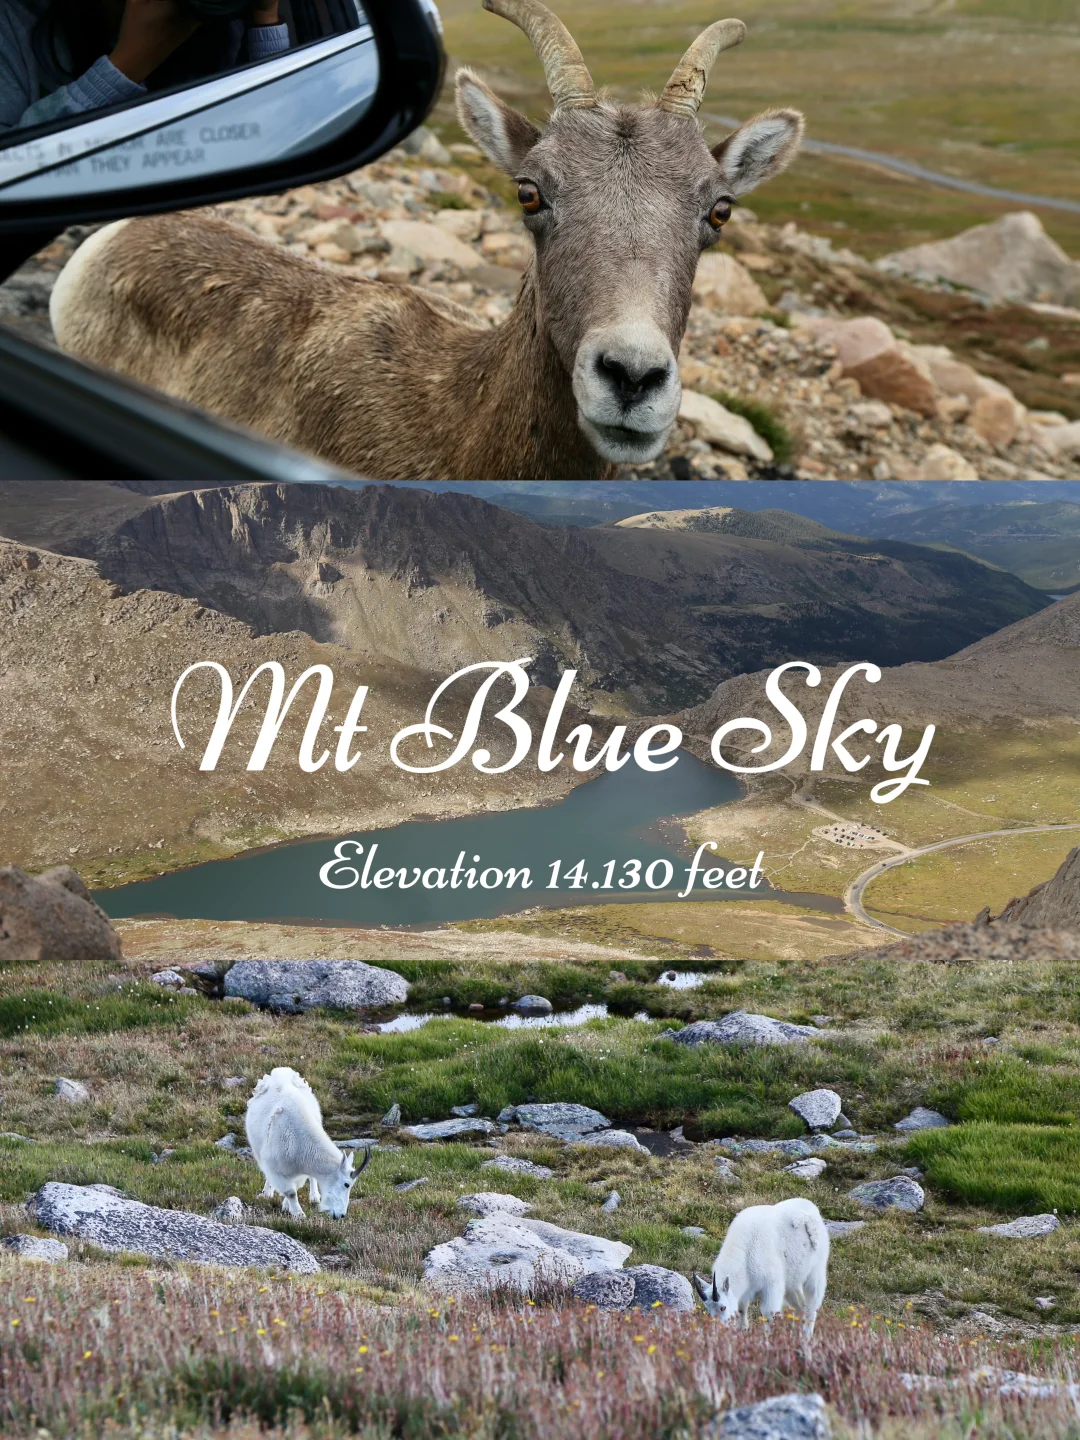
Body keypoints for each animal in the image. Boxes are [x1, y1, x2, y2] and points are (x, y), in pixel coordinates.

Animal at [244, 1066, 368, 1218]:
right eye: (347, 1184)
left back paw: (314, 1197)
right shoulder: (275, 1168)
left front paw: (287, 1207)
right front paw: (299, 1214)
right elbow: (291, 1192)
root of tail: (280, 1071)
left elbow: (297, 1186)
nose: (340, 1215)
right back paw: (267, 1193)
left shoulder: (299, 1168)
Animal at [692, 1197, 829, 1339]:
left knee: (812, 1306)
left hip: (816, 1271)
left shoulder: (772, 1285)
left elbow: (768, 1314)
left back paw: (806, 1336)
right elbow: (741, 1311)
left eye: (723, 1307)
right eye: (708, 1309)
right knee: (800, 1306)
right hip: (792, 1282)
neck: (746, 1254)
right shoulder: (745, 1292)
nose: (719, 1331)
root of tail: (813, 1209)